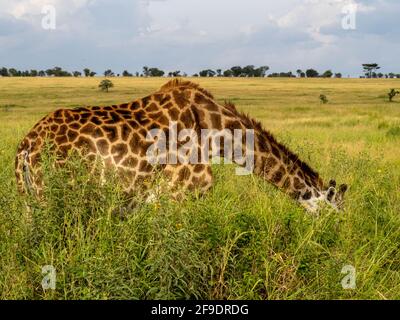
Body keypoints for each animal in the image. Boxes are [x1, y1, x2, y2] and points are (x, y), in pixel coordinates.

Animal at [14, 78, 346, 212]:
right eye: (337, 210)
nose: (336, 238)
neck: (218, 136)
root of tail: (26, 146)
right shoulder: (182, 195)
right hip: (57, 201)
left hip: (30, 202)